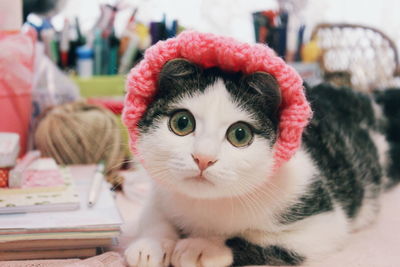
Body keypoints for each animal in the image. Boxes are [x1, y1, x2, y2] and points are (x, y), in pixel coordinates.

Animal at [125, 59, 400, 267]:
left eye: (240, 134)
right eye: (182, 123)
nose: (203, 158)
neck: (208, 205)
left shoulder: (323, 221)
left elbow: (259, 240)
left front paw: (205, 247)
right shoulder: (162, 192)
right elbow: (155, 215)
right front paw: (150, 244)